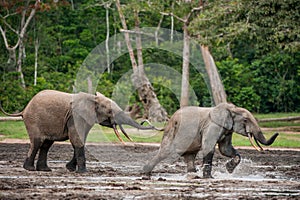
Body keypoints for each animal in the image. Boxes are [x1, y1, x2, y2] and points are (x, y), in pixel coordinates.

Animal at [0, 89, 158, 172]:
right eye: (110, 111)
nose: (144, 120)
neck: (93, 98)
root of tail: (24, 109)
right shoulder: (75, 117)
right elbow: (77, 138)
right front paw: (82, 172)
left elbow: (81, 139)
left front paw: (70, 168)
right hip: (33, 121)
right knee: (37, 142)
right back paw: (29, 169)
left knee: (46, 145)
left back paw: (45, 170)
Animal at [143, 103, 278, 178]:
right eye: (245, 120)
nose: (277, 133)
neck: (231, 109)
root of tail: (169, 120)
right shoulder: (212, 125)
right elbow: (209, 147)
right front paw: (209, 178)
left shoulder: (227, 129)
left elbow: (225, 149)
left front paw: (229, 169)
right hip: (172, 132)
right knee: (165, 151)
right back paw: (145, 174)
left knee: (190, 156)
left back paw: (193, 175)